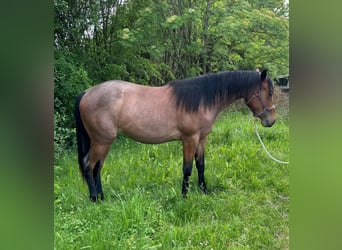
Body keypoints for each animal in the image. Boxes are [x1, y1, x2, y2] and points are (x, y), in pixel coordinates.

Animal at [74, 69, 276, 202]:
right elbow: (187, 168)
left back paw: (102, 197)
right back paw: (94, 199)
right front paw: (184, 196)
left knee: (97, 168)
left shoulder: (201, 139)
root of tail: (86, 93)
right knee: (89, 166)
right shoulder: (189, 139)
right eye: (269, 92)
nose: (271, 121)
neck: (201, 99)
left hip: (104, 142)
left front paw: (203, 190)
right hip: (101, 141)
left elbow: (201, 165)